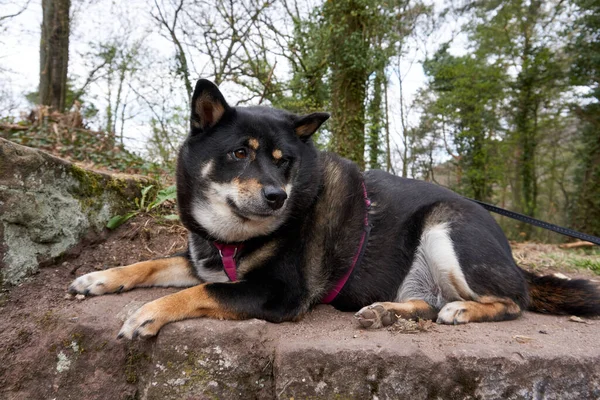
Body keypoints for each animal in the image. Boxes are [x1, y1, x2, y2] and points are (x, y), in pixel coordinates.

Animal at [68, 79, 600, 340]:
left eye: (284, 161)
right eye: (240, 153)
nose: (276, 197)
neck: (233, 235)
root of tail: (513, 259)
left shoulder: (277, 293)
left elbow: (198, 292)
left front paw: (146, 313)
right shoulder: (205, 258)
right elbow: (152, 263)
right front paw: (100, 277)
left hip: (445, 228)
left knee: (512, 303)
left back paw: (464, 310)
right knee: (427, 303)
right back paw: (387, 312)